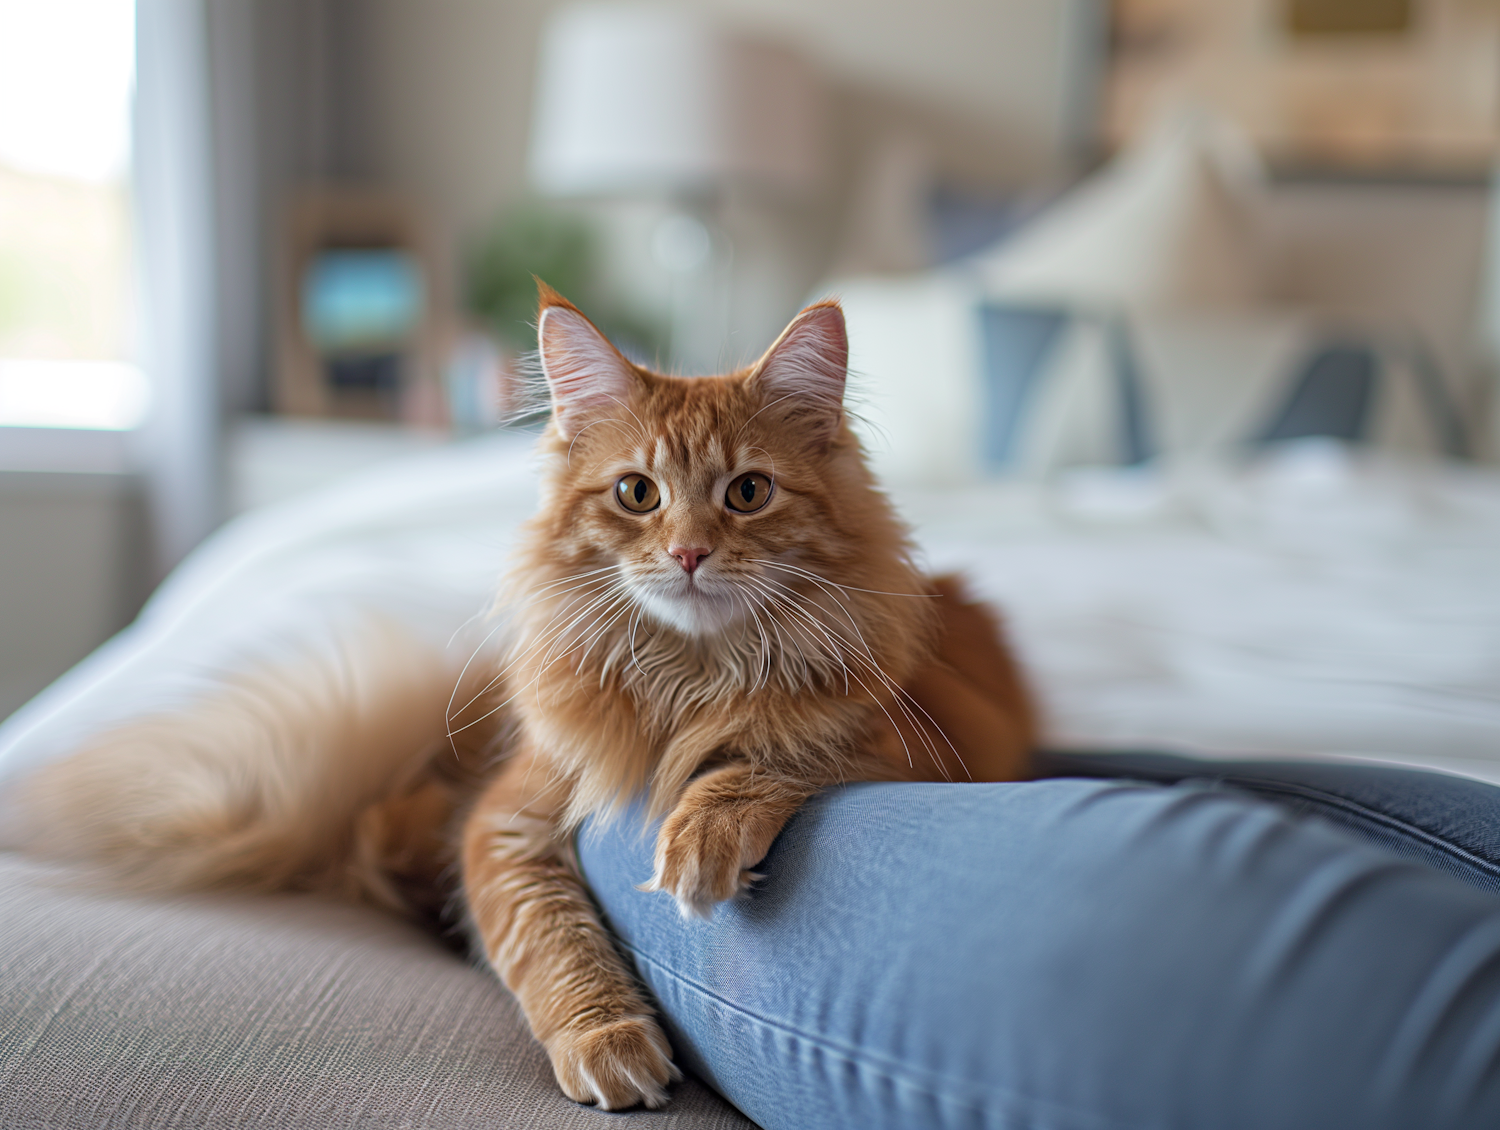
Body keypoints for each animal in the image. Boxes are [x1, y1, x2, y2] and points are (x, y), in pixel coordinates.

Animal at [20, 283, 1032, 1110]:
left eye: (748, 493)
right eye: (637, 494)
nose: (689, 554)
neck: (691, 676)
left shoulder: (923, 744)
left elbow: (779, 751)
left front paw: (703, 832)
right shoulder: (509, 819)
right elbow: (547, 937)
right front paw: (608, 1040)